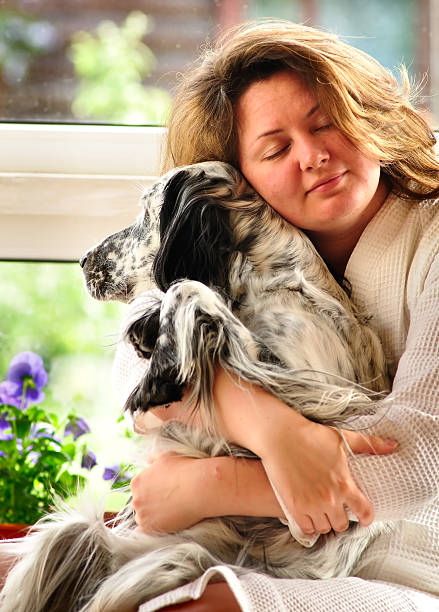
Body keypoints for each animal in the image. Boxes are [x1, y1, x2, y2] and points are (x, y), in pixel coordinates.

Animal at [0, 161, 392, 612]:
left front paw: (160, 374)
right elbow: (188, 297)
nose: (82, 260)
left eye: (146, 213)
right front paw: (149, 330)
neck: (268, 285)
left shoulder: (320, 393)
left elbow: (186, 289)